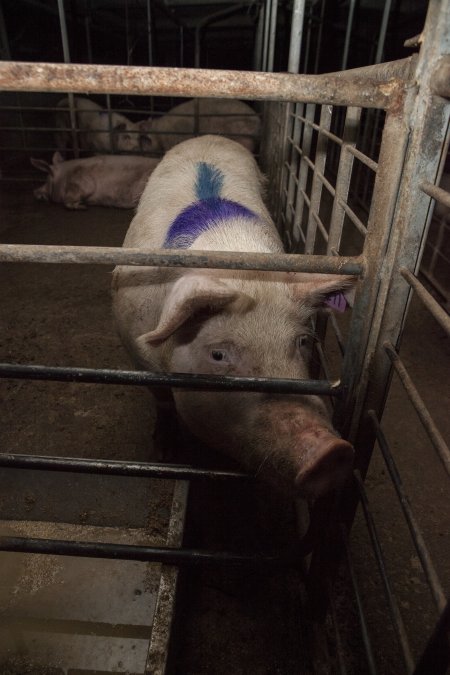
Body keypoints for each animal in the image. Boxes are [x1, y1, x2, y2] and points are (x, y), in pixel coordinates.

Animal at [30, 152, 160, 210]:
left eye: (47, 180)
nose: (34, 192)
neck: (65, 177)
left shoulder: (82, 182)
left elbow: (69, 201)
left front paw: (82, 206)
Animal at [111, 135, 356, 500]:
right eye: (218, 354)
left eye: (302, 341)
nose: (331, 453)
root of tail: (209, 136)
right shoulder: (134, 347)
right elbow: (163, 400)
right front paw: (164, 454)